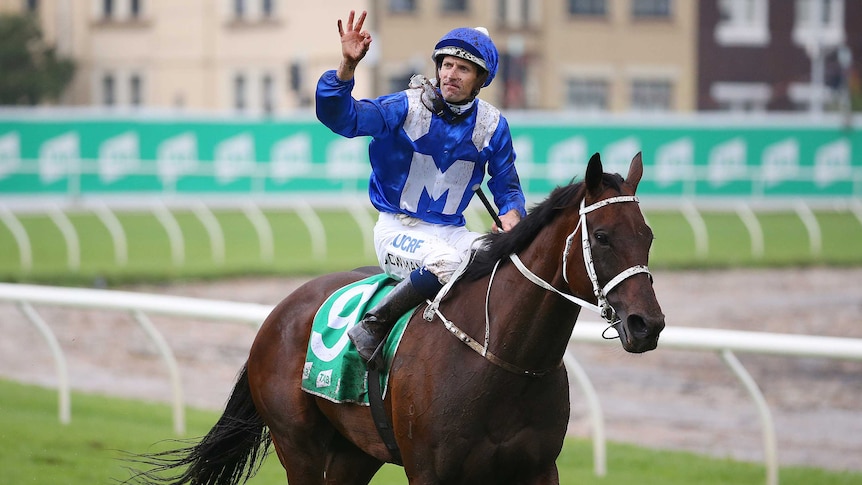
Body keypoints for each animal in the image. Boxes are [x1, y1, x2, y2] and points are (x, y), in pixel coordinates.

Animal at [128, 151, 668, 484]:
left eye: (648, 235)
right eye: (602, 237)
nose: (647, 324)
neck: (502, 358)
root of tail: (279, 311)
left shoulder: (536, 469)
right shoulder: (429, 472)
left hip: (354, 452)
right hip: (298, 445)